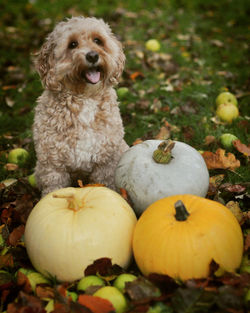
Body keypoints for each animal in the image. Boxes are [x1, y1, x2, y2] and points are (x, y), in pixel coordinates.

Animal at [32, 16, 128, 195]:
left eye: (98, 40)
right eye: (72, 44)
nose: (92, 56)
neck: (84, 98)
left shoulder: (106, 162)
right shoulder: (52, 166)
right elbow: (53, 190)